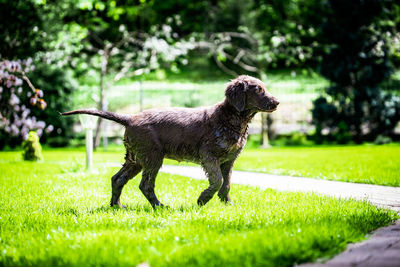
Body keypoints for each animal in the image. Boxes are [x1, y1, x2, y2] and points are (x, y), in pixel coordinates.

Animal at [62, 75, 280, 209]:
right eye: (258, 90)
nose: (277, 102)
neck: (233, 119)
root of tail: (129, 118)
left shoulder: (229, 160)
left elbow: (226, 184)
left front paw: (227, 204)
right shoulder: (209, 156)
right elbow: (217, 181)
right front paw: (202, 200)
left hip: (135, 159)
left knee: (117, 179)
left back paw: (117, 206)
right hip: (152, 157)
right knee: (145, 185)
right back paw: (159, 206)